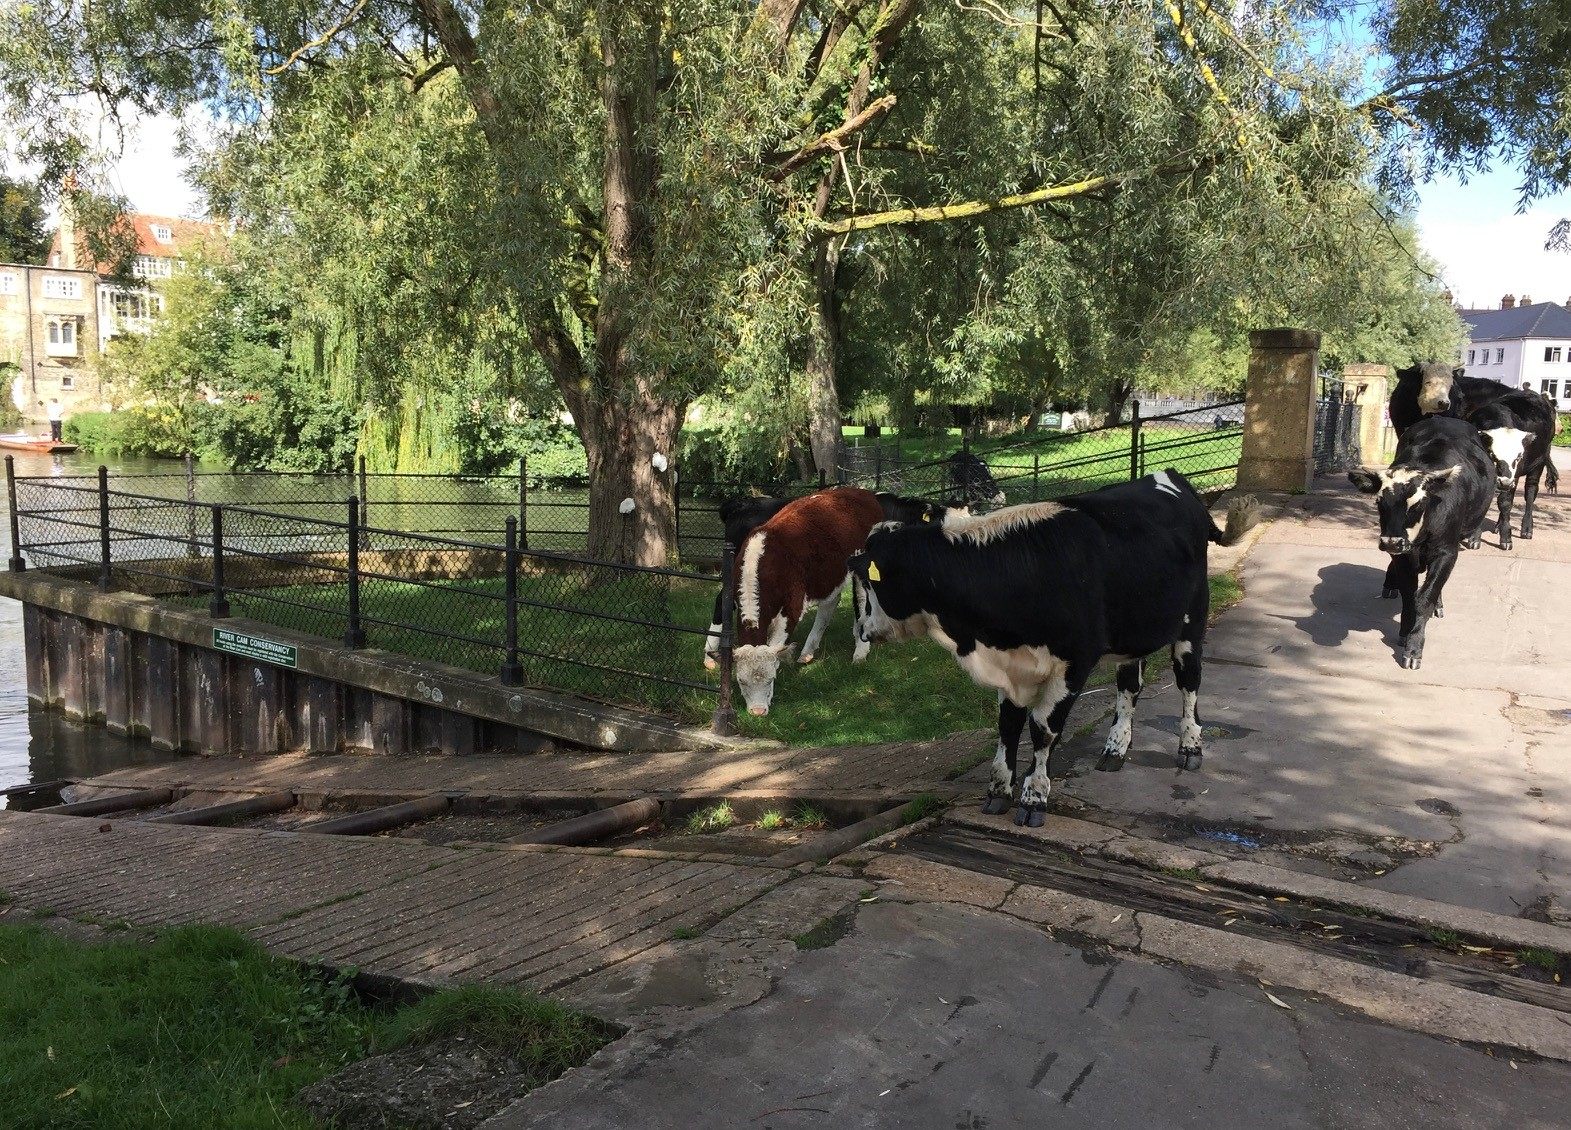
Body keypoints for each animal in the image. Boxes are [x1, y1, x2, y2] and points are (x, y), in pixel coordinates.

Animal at [732, 487, 892, 716]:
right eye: (741, 681)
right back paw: (808, 652)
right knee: (829, 605)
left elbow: (777, 644)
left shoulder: (792, 607)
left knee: (862, 601)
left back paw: (860, 650)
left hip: (863, 565)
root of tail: (862, 492)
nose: (758, 712)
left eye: (770, 680)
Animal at [854, 471, 1256, 823]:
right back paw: (1115, 748)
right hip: (1133, 634)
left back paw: (1190, 747)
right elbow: (1008, 726)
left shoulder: (1075, 662)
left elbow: (1043, 729)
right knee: (1129, 686)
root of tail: (1174, 479)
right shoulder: (1011, 664)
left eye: (872, 583)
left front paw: (1034, 796)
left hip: (1192, 619)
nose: (861, 629)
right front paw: (998, 791)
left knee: (1189, 682)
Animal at [1344, 421, 1489, 675]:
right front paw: (1405, 632)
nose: (1391, 541)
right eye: (1379, 502)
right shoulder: (1403, 556)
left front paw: (1414, 648)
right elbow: (1409, 596)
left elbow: (1425, 597)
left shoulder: (1447, 552)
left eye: (1418, 504)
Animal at [1470, 391, 1558, 550]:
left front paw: (1506, 538)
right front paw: (1474, 537)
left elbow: (1505, 503)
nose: (1505, 483)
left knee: (1530, 492)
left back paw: (1527, 529)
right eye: (1491, 454)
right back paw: (1498, 525)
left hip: (1538, 463)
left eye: (1518, 457)